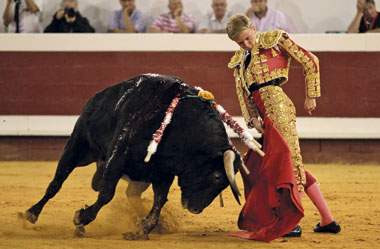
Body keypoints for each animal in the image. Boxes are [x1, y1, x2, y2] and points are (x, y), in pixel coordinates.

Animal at [20, 74, 242, 235]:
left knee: (131, 194)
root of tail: (98, 95)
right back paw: (31, 213)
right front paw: (81, 217)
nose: (195, 209)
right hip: (78, 147)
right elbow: (106, 193)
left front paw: (145, 227)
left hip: (137, 175)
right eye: (216, 177)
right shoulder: (118, 157)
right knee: (56, 183)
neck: (180, 124)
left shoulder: (162, 171)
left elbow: (159, 200)